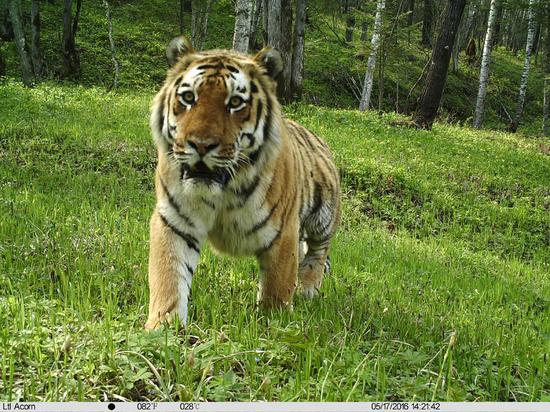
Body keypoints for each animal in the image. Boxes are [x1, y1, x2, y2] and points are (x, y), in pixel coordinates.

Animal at [146, 37, 344, 330]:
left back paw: (308, 288)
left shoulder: (284, 229)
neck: (223, 190)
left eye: (236, 102)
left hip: (324, 214)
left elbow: (278, 286)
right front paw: (162, 329)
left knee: (318, 251)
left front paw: (274, 325)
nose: (200, 145)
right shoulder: (174, 221)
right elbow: (168, 278)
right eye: (189, 98)